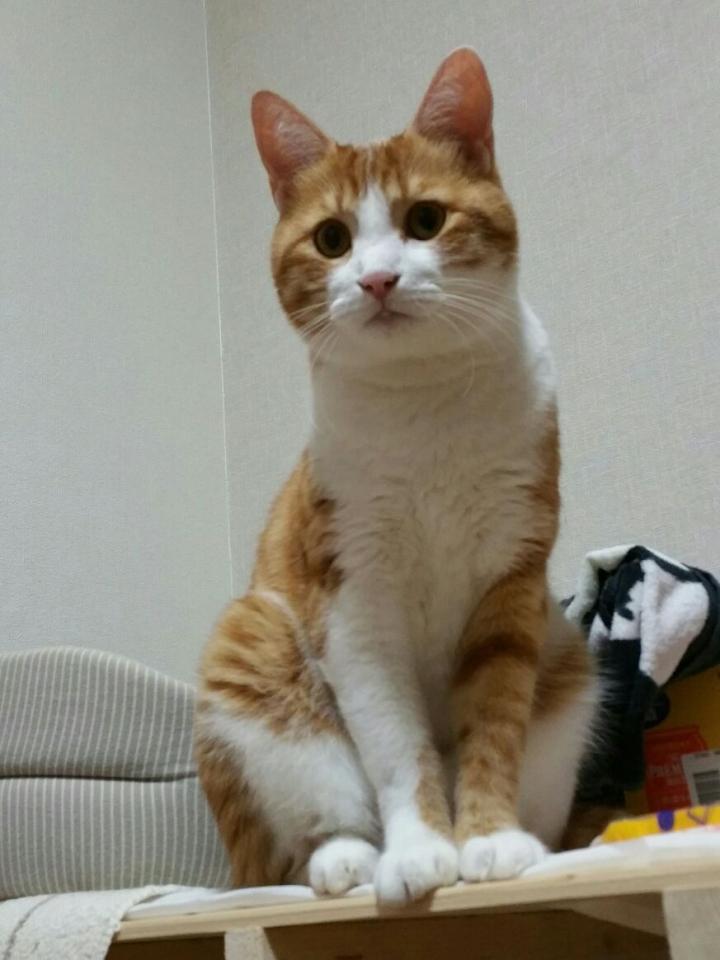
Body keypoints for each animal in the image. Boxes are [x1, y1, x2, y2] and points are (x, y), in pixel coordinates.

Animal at [194, 47, 598, 905]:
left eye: (425, 221)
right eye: (332, 238)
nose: (378, 280)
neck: (425, 402)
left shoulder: (511, 585)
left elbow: (494, 727)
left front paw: (486, 840)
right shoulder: (355, 603)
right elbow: (397, 748)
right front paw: (419, 851)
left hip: (572, 663)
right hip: (254, 649)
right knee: (301, 844)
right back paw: (347, 860)